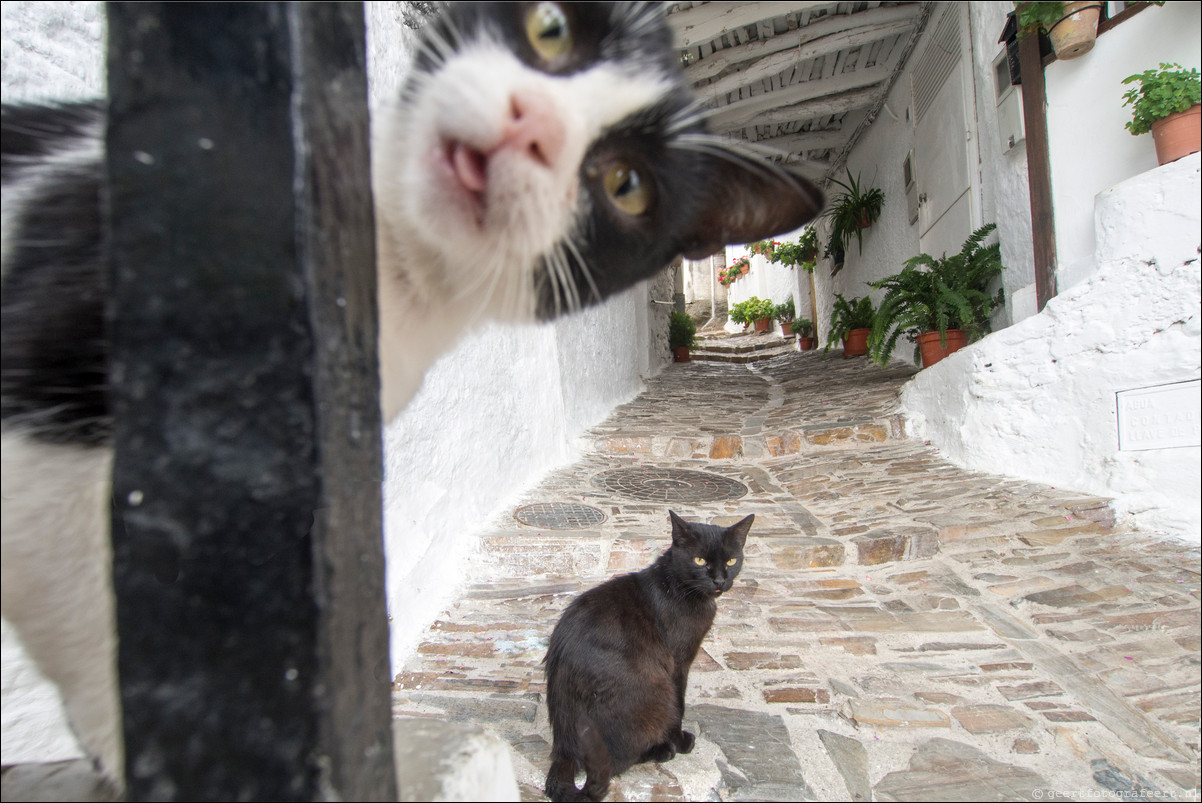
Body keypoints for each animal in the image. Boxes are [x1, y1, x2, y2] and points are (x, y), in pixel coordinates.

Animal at [543, 512, 750, 798]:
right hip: (657, 689)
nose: (719, 580)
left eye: (731, 560)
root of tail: (563, 748)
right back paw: (662, 750)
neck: (676, 586)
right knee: (617, 761)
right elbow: (679, 707)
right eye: (699, 560)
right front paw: (679, 740)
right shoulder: (678, 664)